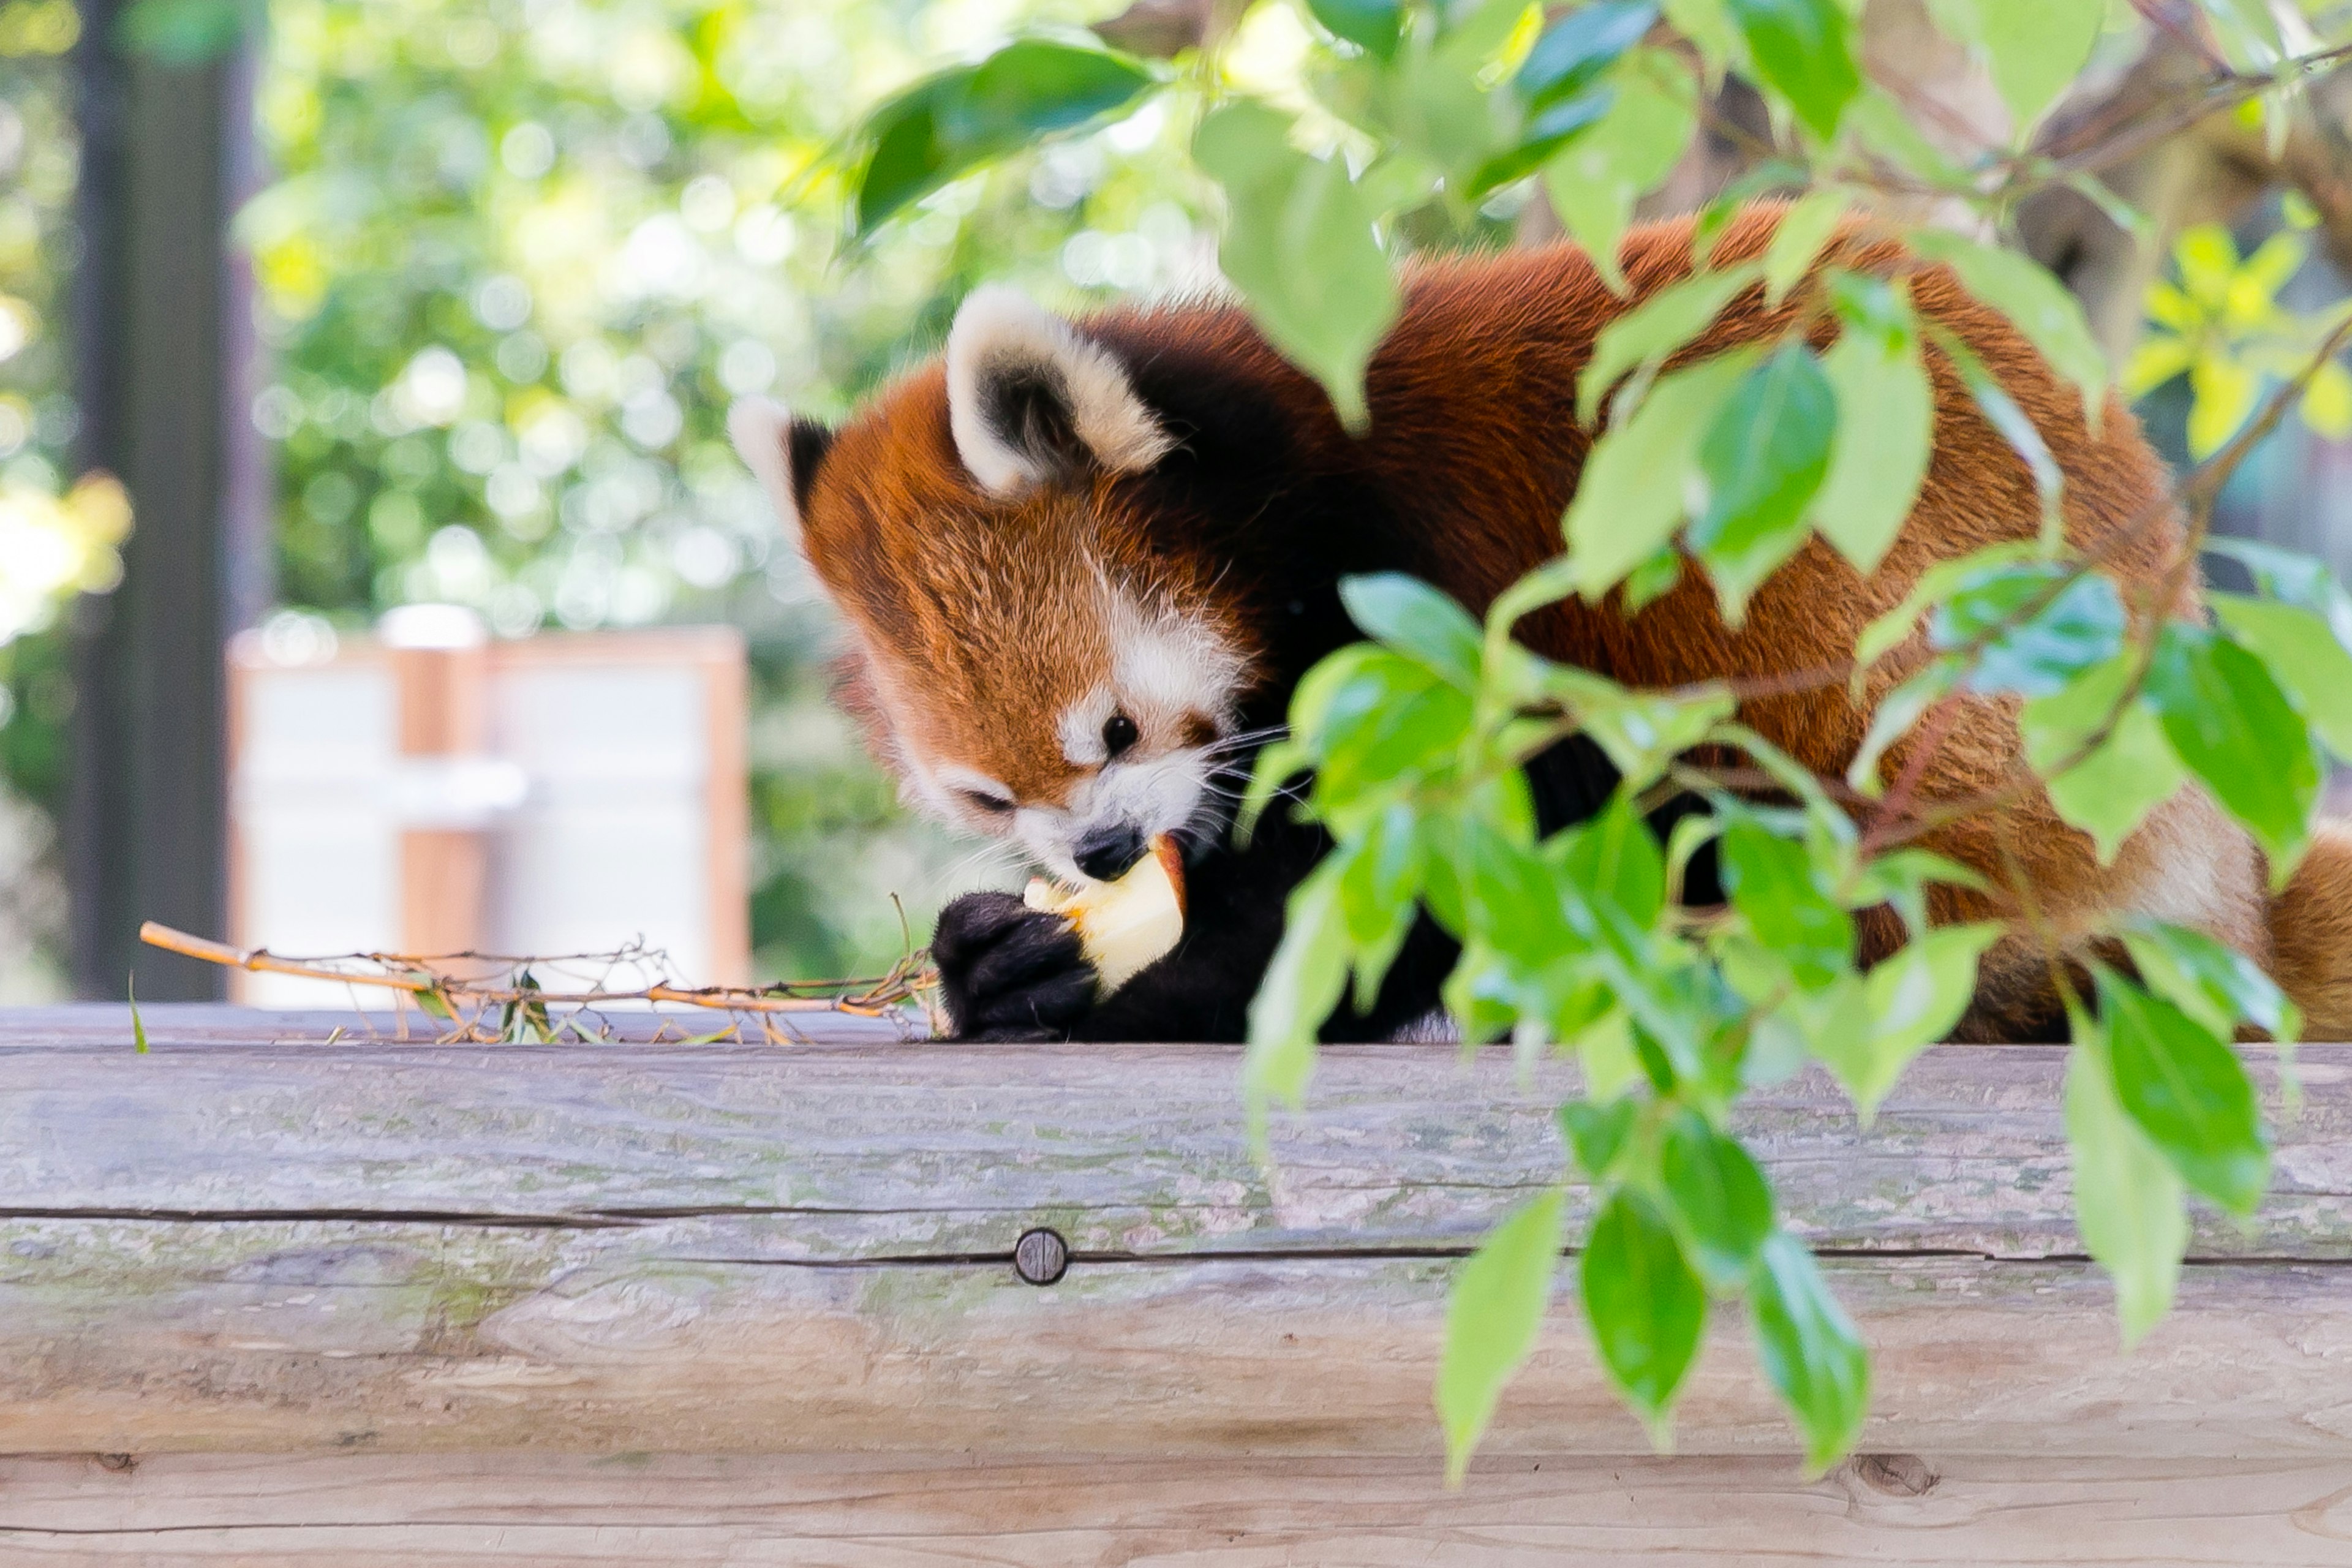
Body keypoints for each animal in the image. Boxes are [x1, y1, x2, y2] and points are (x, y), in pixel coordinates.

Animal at [729, 205, 2352, 1044]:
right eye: (989, 796)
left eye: (1116, 728)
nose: (1108, 854)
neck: (1294, 470)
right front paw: (1002, 955)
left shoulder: (1451, 583)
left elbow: (1441, 864)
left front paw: (1142, 982)